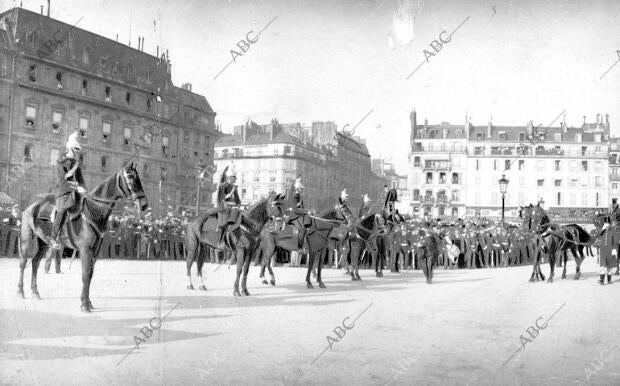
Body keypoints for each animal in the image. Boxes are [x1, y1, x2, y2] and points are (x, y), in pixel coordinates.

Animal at [17, 161, 148, 312]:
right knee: (23, 263)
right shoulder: (85, 249)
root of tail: (31, 207)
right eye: (131, 177)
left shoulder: (95, 251)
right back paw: (20, 292)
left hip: (43, 243)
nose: (144, 204)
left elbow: (89, 275)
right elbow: (85, 275)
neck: (95, 210)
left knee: (35, 263)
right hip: (27, 241)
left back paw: (35, 292)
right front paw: (84, 304)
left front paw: (88, 301)